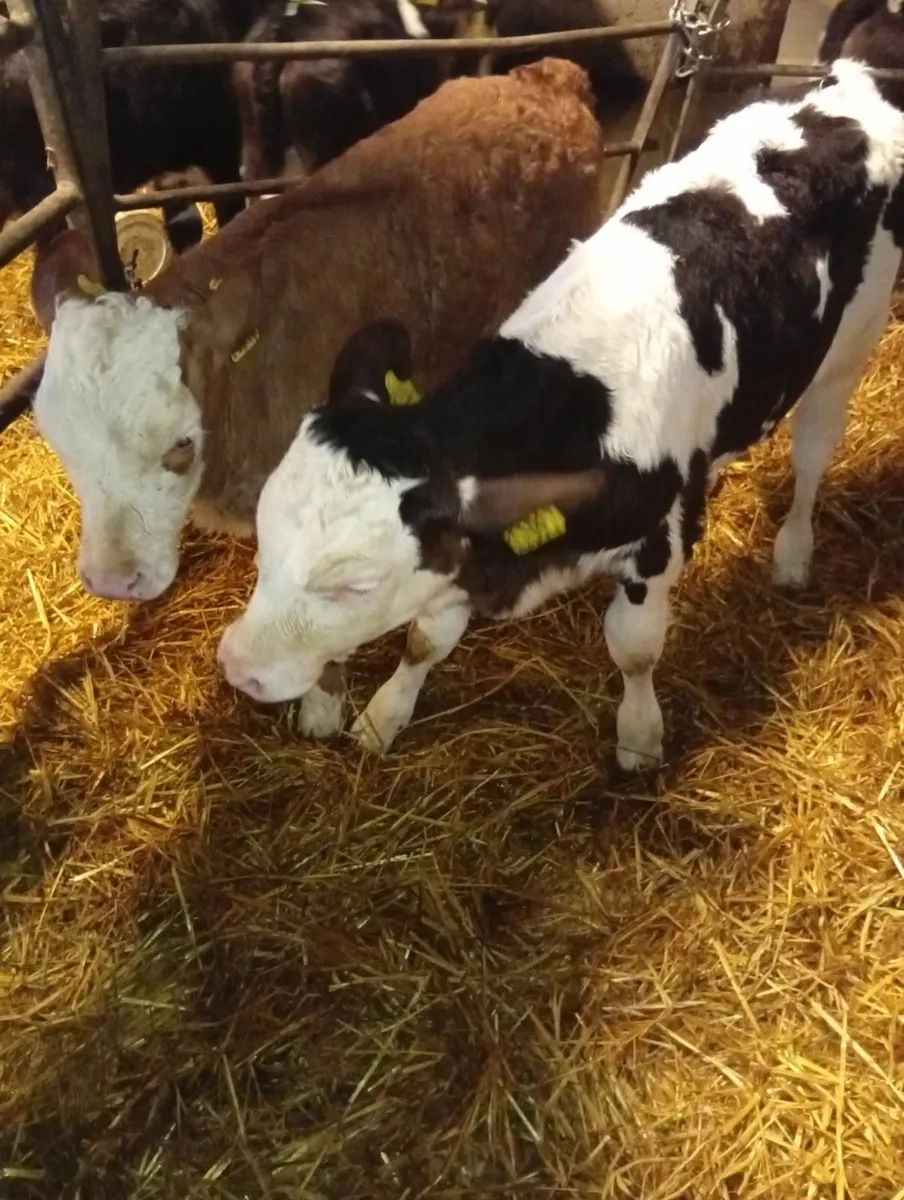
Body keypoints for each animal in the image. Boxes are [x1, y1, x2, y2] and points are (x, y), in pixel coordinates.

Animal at [216, 58, 904, 771]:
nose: (236, 666)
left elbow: (634, 647)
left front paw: (639, 735)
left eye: (356, 587)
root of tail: (848, 84)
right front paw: (387, 712)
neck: (580, 400)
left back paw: (793, 552)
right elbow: (426, 637)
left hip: (849, 346)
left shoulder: (653, 546)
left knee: (814, 453)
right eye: (264, 537)